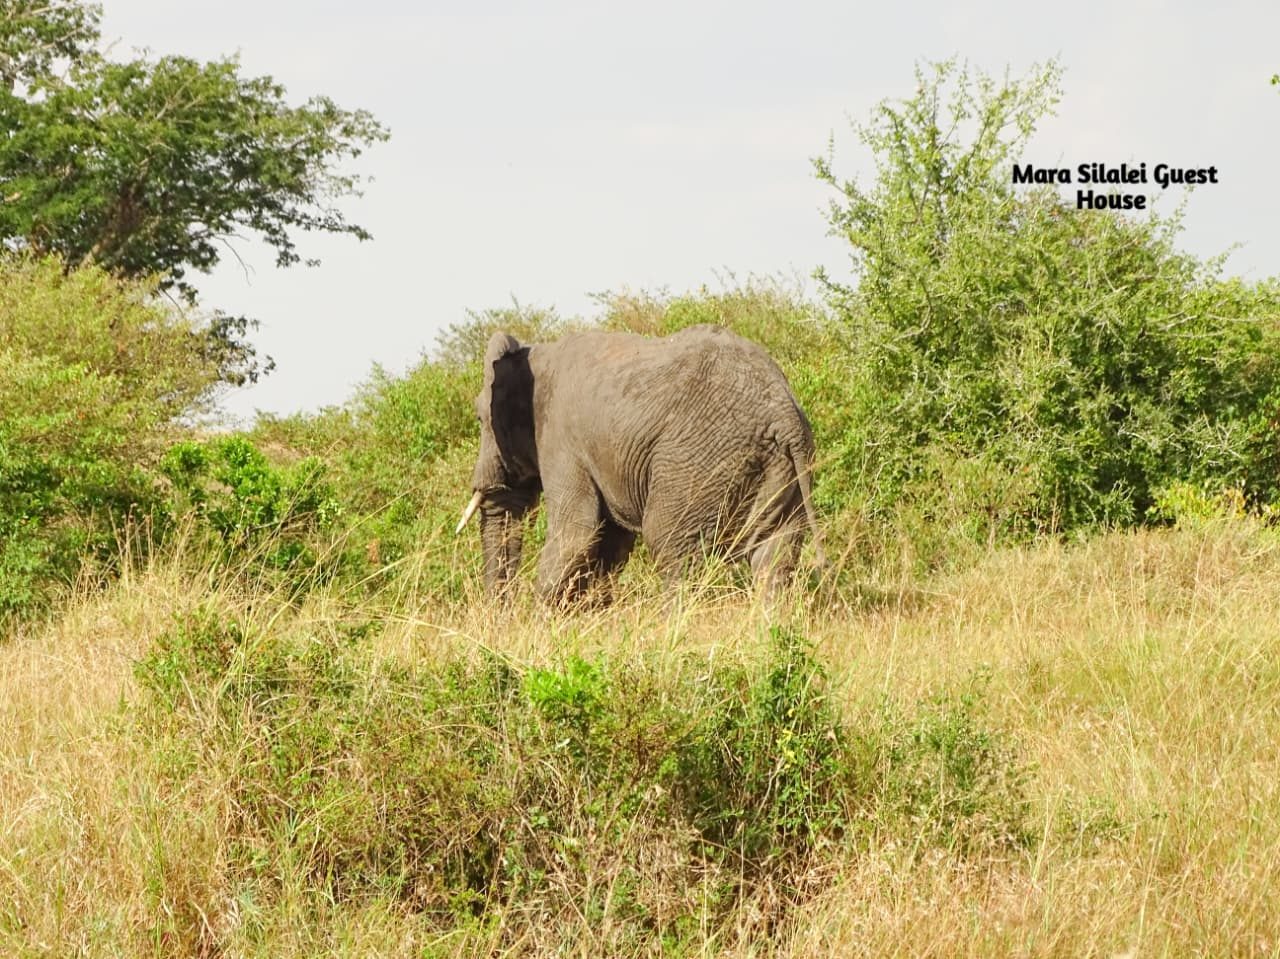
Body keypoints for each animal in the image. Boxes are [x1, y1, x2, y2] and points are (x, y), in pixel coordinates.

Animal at [455, 324, 823, 603]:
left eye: (479, 418)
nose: (501, 617)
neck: (535, 354)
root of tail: (784, 416)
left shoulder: (560, 438)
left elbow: (576, 535)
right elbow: (608, 544)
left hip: (697, 463)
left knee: (672, 547)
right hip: (781, 469)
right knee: (774, 558)